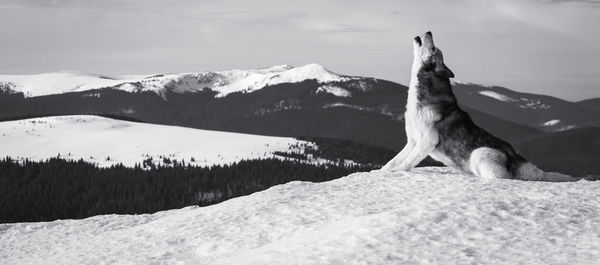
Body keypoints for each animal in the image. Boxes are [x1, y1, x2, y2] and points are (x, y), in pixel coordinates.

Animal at [384, 31, 576, 182]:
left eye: (433, 49)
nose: (429, 31)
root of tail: (516, 156)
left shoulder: (426, 143)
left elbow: (405, 163)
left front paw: (395, 173)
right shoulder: (412, 142)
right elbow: (394, 160)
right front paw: (383, 171)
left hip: (480, 153)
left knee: (504, 179)